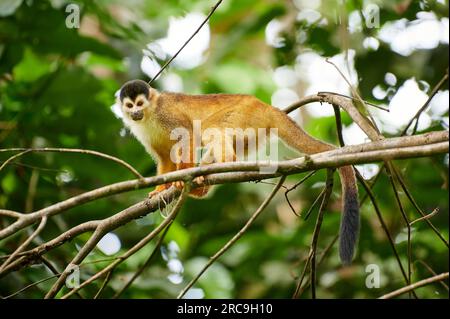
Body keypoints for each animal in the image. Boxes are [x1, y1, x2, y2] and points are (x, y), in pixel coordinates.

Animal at [118, 80, 360, 264]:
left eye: (140, 103)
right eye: (130, 106)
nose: (135, 112)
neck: (150, 114)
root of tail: (265, 106)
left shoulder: (166, 114)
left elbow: (188, 135)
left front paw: (180, 181)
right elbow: (165, 158)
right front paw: (161, 189)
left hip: (244, 114)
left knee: (210, 129)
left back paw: (220, 166)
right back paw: (203, 184)